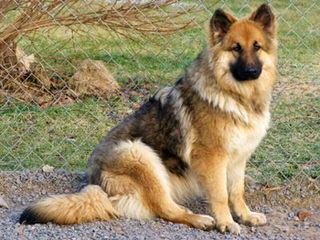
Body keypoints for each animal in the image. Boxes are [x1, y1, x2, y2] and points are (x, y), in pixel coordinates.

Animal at [19, 4, 278, 234]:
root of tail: (95, 184)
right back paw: (200, 219)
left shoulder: (238, 157)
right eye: (236, 48)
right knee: (166, 209)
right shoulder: (213, 157)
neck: (236, 95)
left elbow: (236, 191)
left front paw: (245, 215)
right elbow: (221, 195)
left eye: (257, 47)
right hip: (140, 155)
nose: (252, 72)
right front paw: (226, 222)